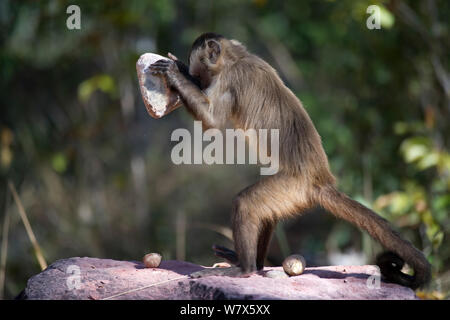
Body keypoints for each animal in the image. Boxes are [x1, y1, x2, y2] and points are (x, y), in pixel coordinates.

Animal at [148, 32, 428, 290]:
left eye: (203, 77)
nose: (198, 82)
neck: (237, 58)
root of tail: (321, 180)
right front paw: (180, 71)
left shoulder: (229, 78)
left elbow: (212, 122)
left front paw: (176, 74)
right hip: (290, 195)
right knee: (266, 212)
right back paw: (255, 264)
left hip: (294, 188)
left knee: (245, 203)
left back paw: (245, 269)